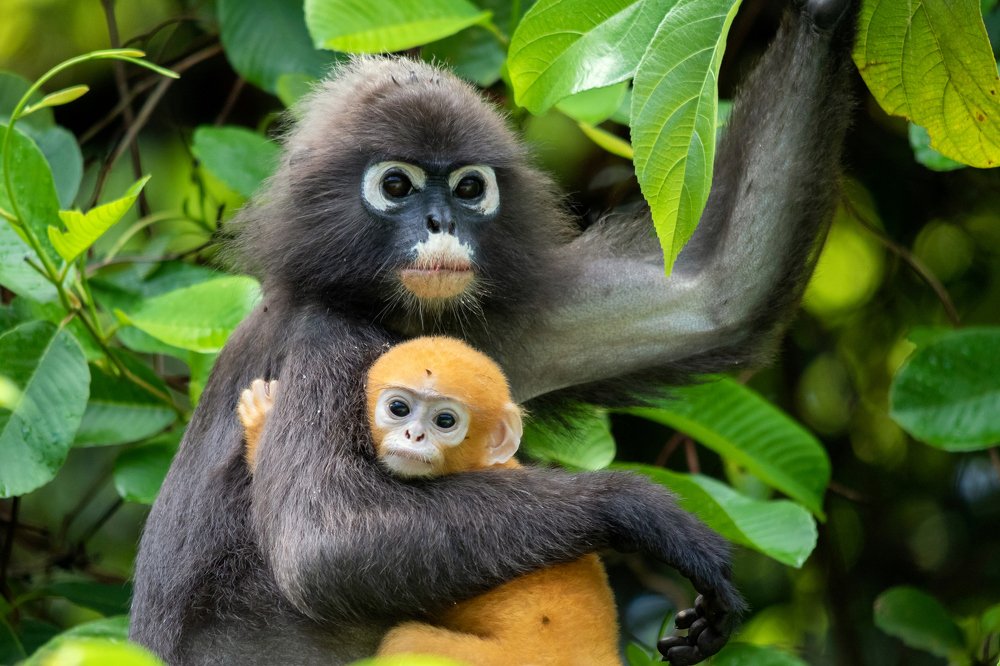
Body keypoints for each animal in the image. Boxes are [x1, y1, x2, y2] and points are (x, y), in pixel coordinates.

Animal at [237, 336, 623, 665]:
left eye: (445, 420)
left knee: (406, 640)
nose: (414, 434)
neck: (481, 463)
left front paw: (262, 422)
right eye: (398, 408)